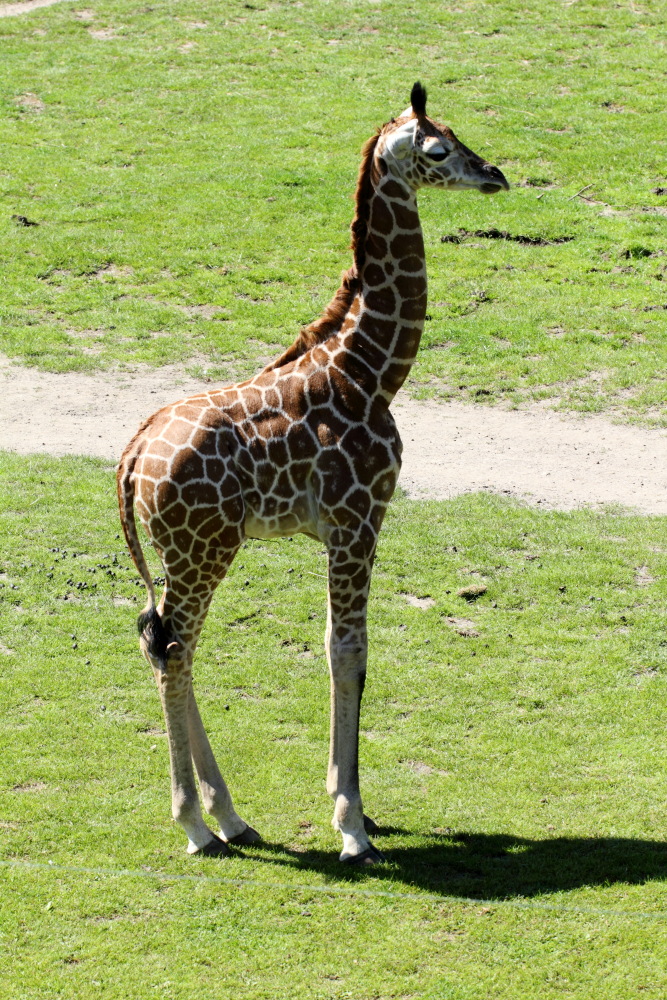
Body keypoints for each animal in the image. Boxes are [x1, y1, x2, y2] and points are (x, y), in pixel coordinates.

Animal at [117, 83, 508, 865]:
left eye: (458, 134)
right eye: (437, 149)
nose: (495, 176)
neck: (371, 371)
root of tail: (133, 458)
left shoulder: (338, 530)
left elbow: (340, 647)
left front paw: (353, 807)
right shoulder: (358, 520)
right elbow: (348, 651)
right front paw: (351, 822)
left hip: (191, 553)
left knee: (168, 645)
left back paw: (230, 816)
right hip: (202, 550)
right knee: (173, 649)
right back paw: (196, 825)